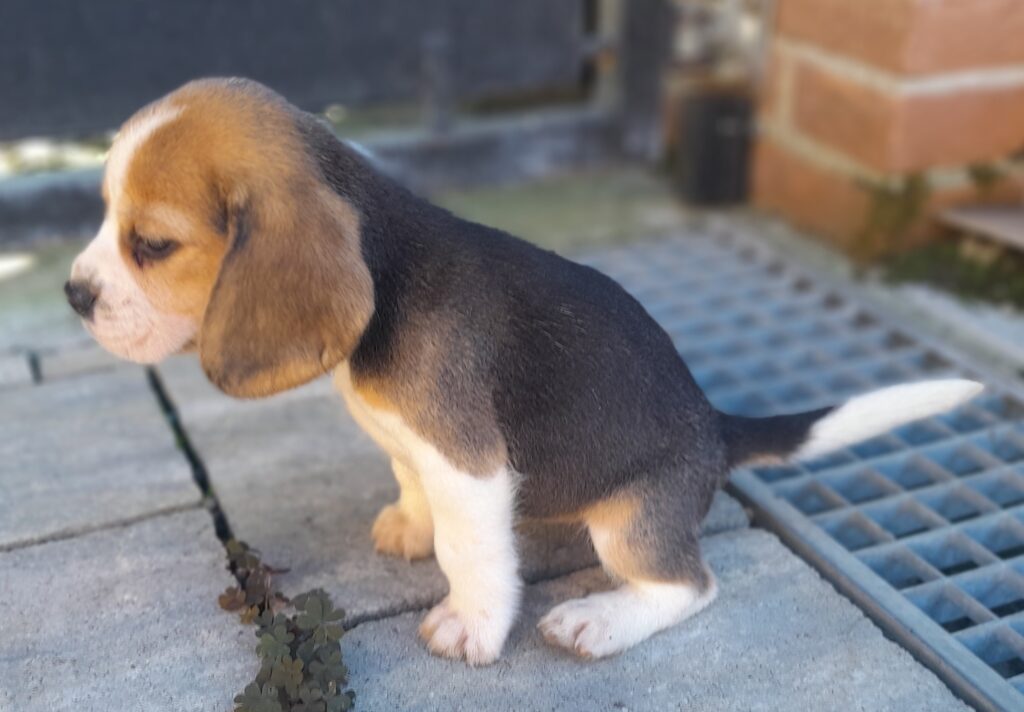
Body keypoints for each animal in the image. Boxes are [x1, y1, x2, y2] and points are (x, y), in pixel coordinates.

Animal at [64, 80, 983, 663]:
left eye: (153, 244)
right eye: (105, 216)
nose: (74, 294)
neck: (384, 267)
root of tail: (714, 426)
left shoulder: (469, 466)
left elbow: (472, 551)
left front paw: (470, 625)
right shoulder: (416, 449)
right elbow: (410, 483)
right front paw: (410, 525)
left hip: (631, 518)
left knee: (691, 585)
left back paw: (600, 621)